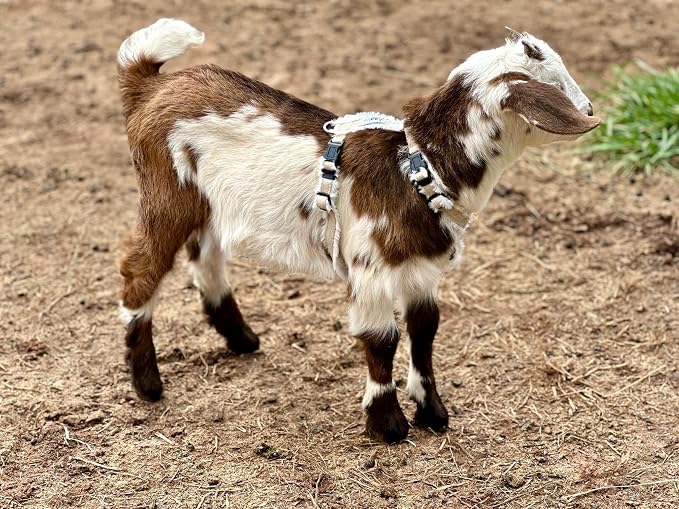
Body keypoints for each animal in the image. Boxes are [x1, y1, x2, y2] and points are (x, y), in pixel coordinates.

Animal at [117, 19, 599, 443]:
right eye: (557, 81)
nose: (591, 109)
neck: (417, 165)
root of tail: (151, 86)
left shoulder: (422, 270)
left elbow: (425, 330)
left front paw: (432, 412)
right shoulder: (371, 269)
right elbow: (382, 339)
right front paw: (388, 425)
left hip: (210, 207)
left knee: (206, 257)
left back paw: (241, 338)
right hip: (167, 195)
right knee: (140, 269)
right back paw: (148, 383)